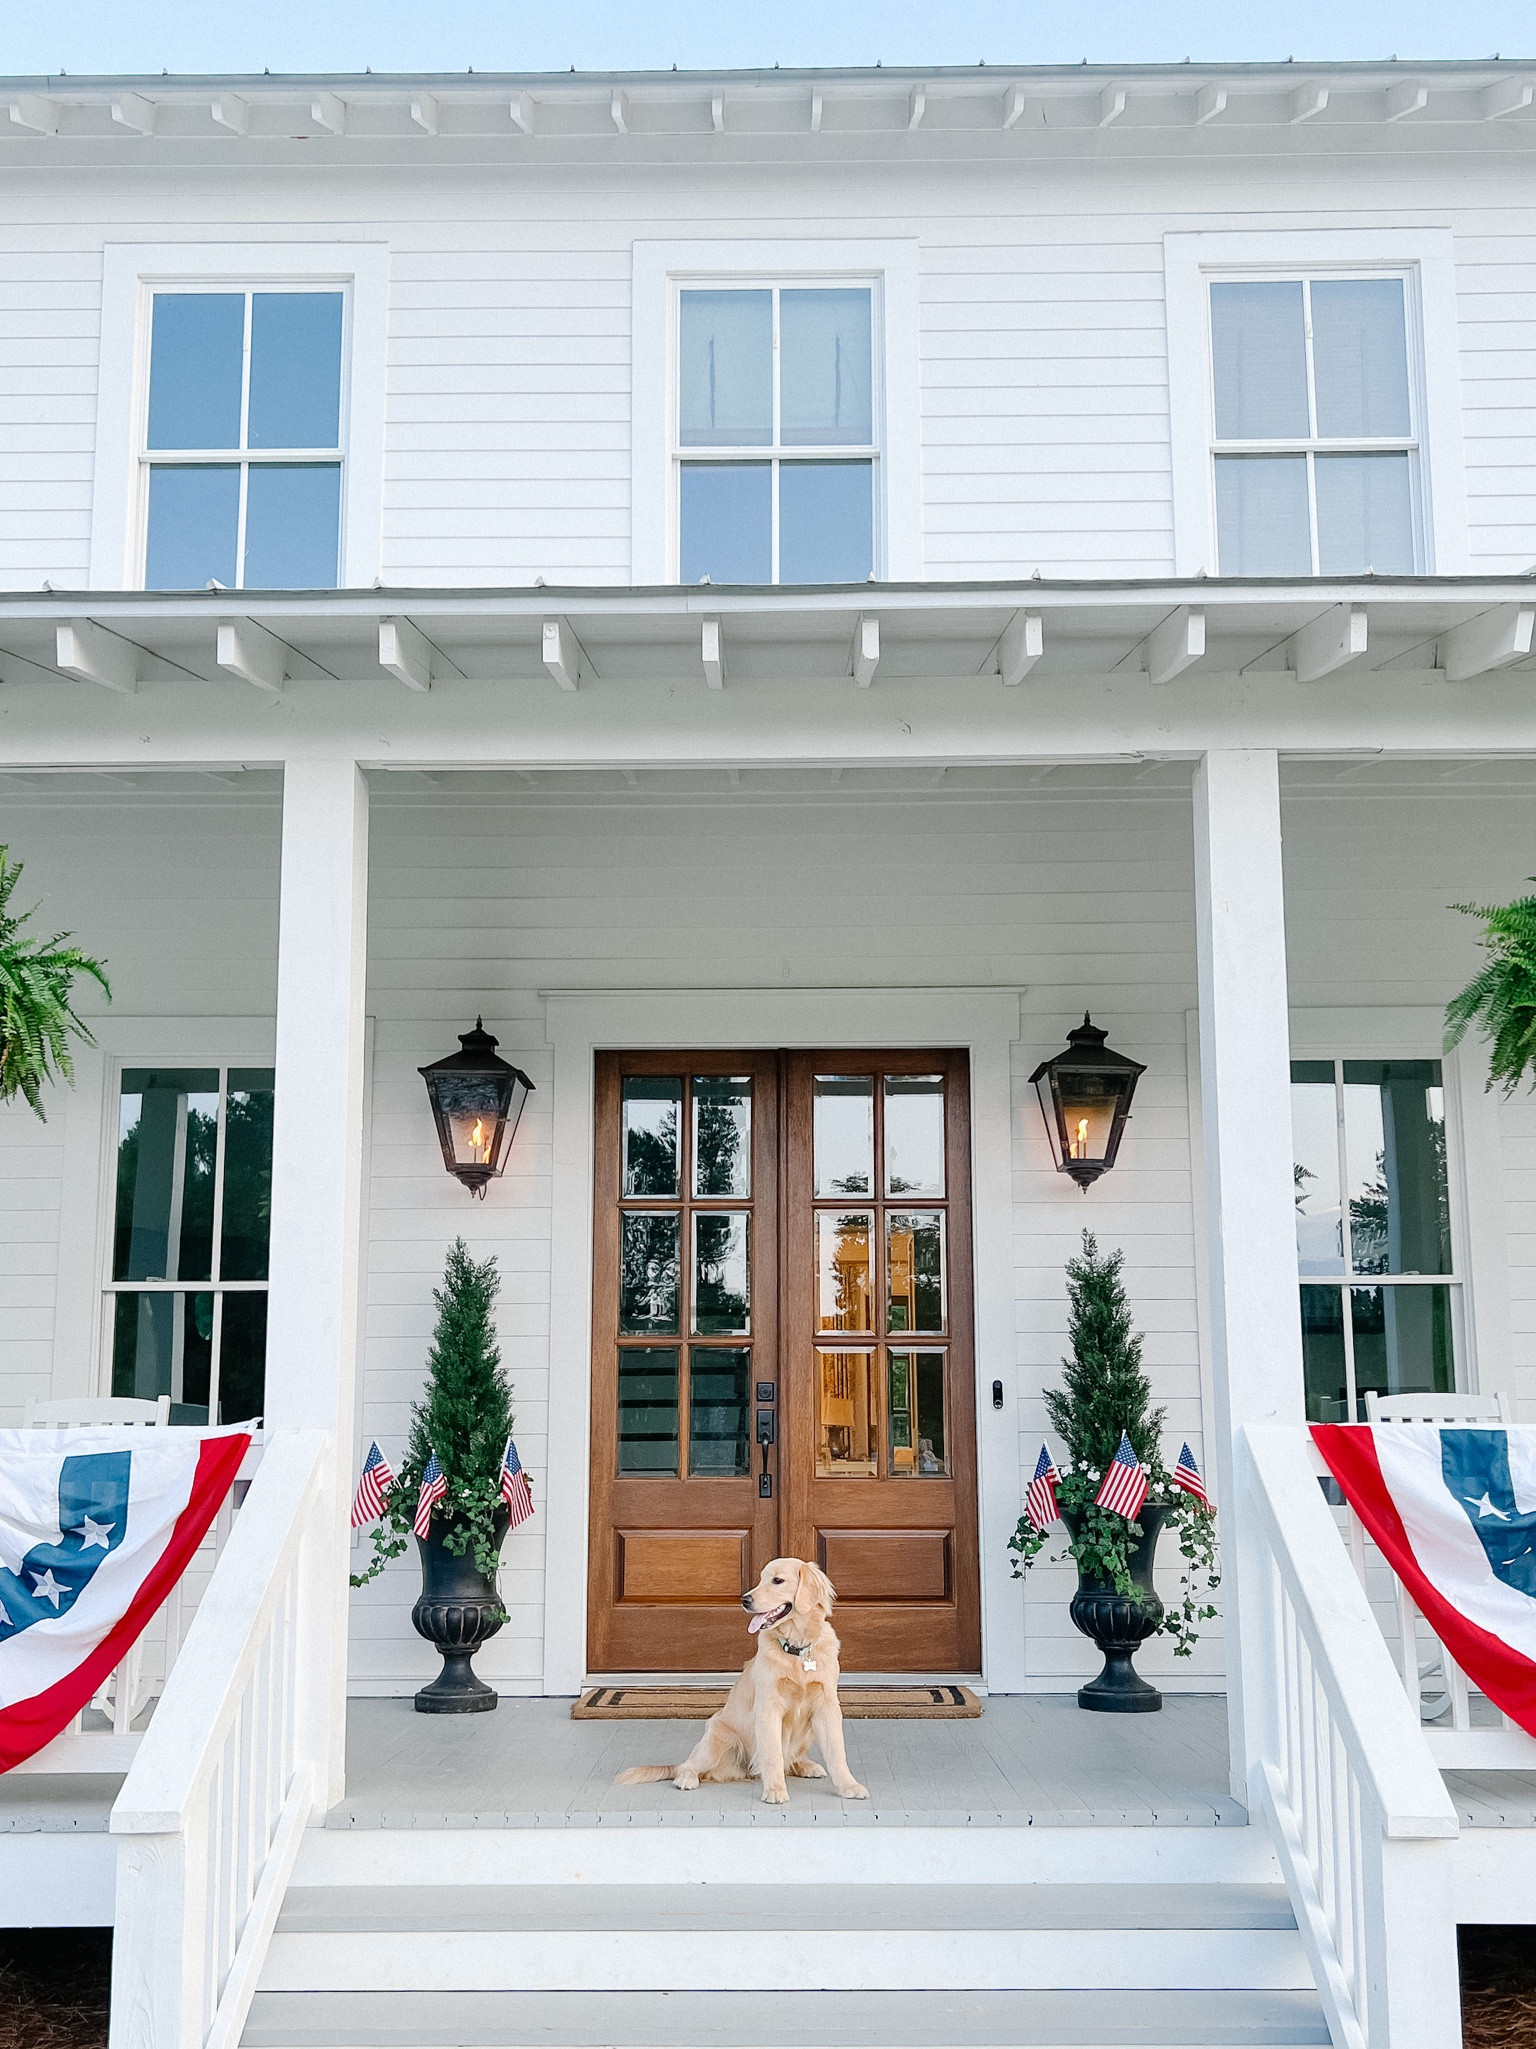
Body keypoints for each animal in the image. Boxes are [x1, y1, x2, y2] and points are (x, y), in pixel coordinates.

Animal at [618, 1557, 872, 1803]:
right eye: (760, 1579)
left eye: (777, 1580)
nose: (745, 1600)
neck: (797, 1650)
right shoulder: (768, 1707)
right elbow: (773, 1754)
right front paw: (775, 1791)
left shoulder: (827, 1706)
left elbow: (837, 1752)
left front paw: (849, 1786)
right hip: (716, 1738)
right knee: (687, 1766)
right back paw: (686, 1778)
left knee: (791, 1760)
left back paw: (806, 1765)